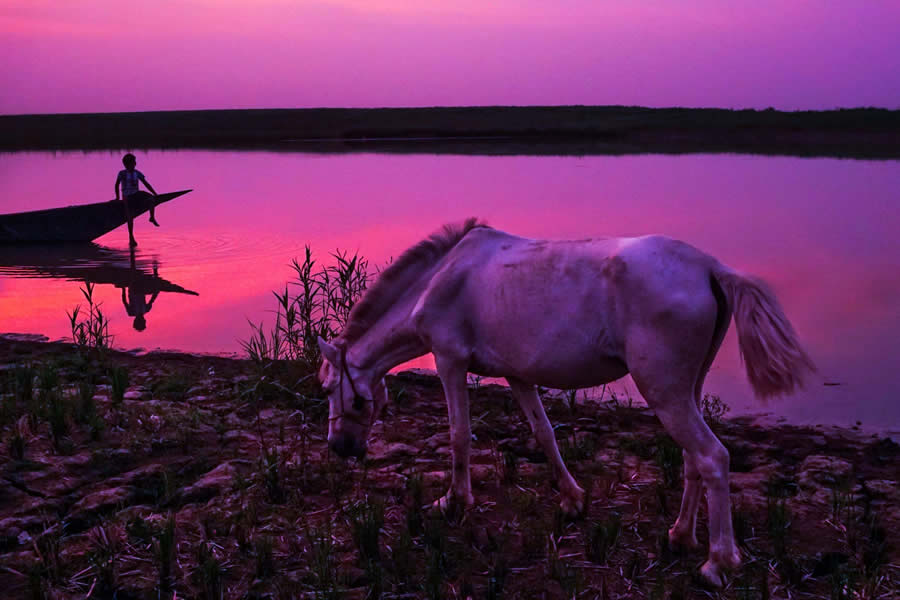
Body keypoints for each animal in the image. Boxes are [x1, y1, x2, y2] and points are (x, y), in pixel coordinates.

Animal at [318, 219, 816, 584]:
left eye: (327, 388)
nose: (340, 448)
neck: (440, 278)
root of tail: (710, 267)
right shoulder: (518, 375)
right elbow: (544, 434)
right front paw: (574, 500)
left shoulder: (449, 360)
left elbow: (460, 435)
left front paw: (453, 503)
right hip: (687, 390)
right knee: (695, 459)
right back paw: (680, 537)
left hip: (665, 391)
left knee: (713, 457)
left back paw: (718, 562)